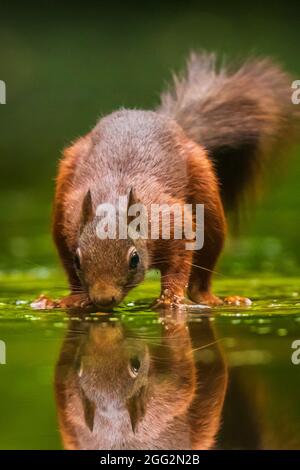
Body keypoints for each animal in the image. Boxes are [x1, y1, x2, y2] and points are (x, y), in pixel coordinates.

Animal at [42, 52, 298, 308]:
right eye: (77, 259)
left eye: (134, 259)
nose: (104, 299)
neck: (115, 197)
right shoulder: (70, 218)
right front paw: (76, 299)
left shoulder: (173, 220)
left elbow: (179, 264)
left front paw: (170, 299)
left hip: (207, 199)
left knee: (201, 278)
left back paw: (215, 299)